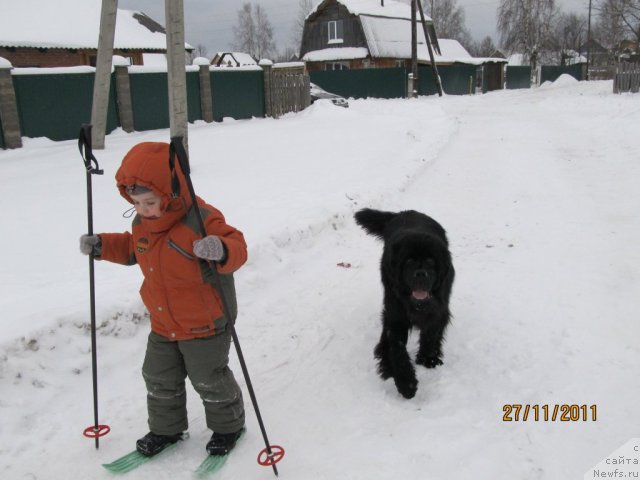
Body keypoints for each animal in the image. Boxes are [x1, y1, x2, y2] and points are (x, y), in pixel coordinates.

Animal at [356, 208, 456, 400]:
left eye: (431, 261)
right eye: (409, 261)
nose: (421, 273)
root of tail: (403, 212)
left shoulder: (439, 310)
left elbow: (431, 334)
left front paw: (428, 358)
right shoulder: (396, 316)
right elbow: (397, 349)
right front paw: (406, 384)